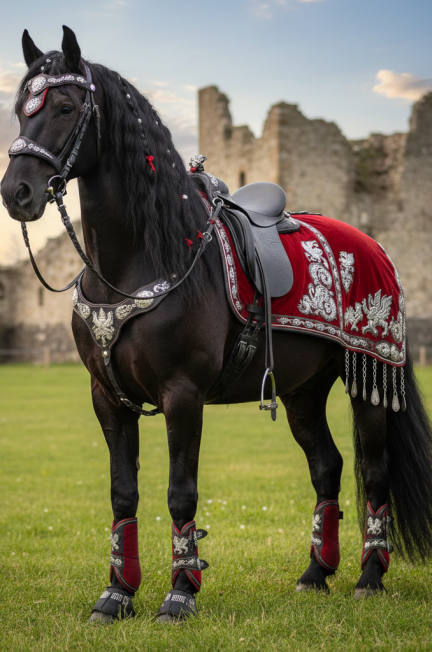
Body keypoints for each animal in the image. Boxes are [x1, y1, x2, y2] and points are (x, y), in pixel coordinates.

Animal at [2, 26, 432, 624]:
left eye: (65, 106)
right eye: (21, 108)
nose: (15, 192)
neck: (141, 261)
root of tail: (375, 246)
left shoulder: (183, 394)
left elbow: (180, 491)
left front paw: (180, 593)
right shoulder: (106, 397)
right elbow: (122, 492)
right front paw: (116, 594)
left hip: (368, 376)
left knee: (374, 471)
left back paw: (369, 576)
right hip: (301, 390)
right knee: (326, 465)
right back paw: (315, 573)